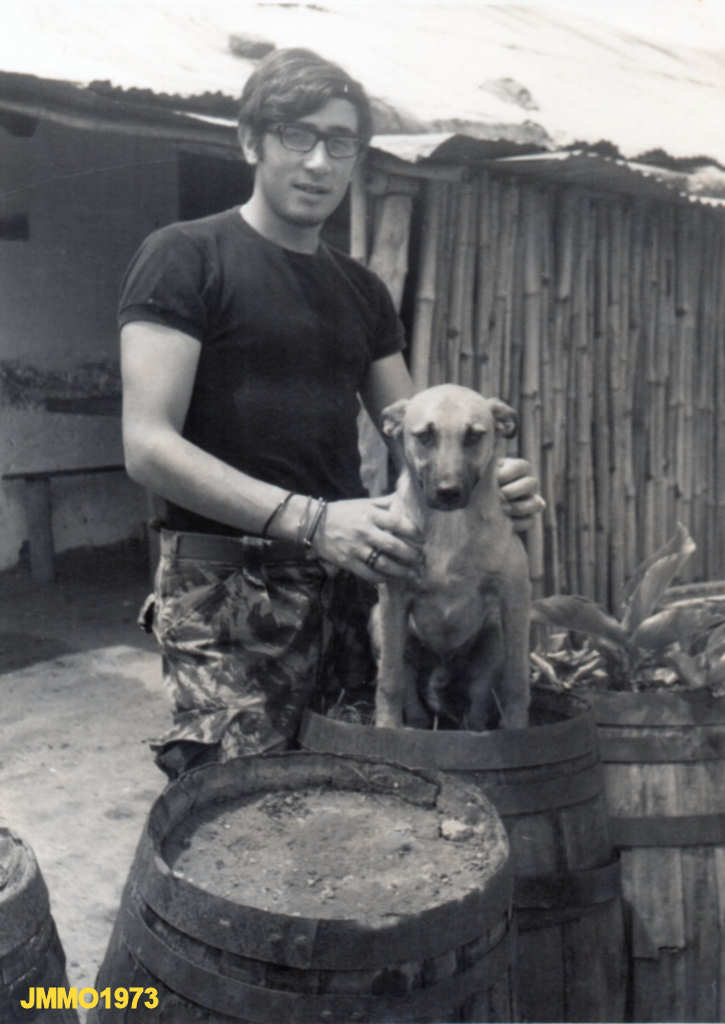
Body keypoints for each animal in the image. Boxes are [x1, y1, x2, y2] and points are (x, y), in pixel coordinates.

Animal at [371, 384, 531, 731]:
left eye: (474, 436)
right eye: (424, 436)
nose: (448, 492)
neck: (449, 524)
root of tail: (443, 667)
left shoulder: (515, 597)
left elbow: (516, 679)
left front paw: (516, 728)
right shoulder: (393, 598)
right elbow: (390, 678)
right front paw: (387, 728)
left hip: (493, 638)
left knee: (480, 691)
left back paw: (475, 727)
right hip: (379, 624)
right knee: (406, 680)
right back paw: (417, 722)